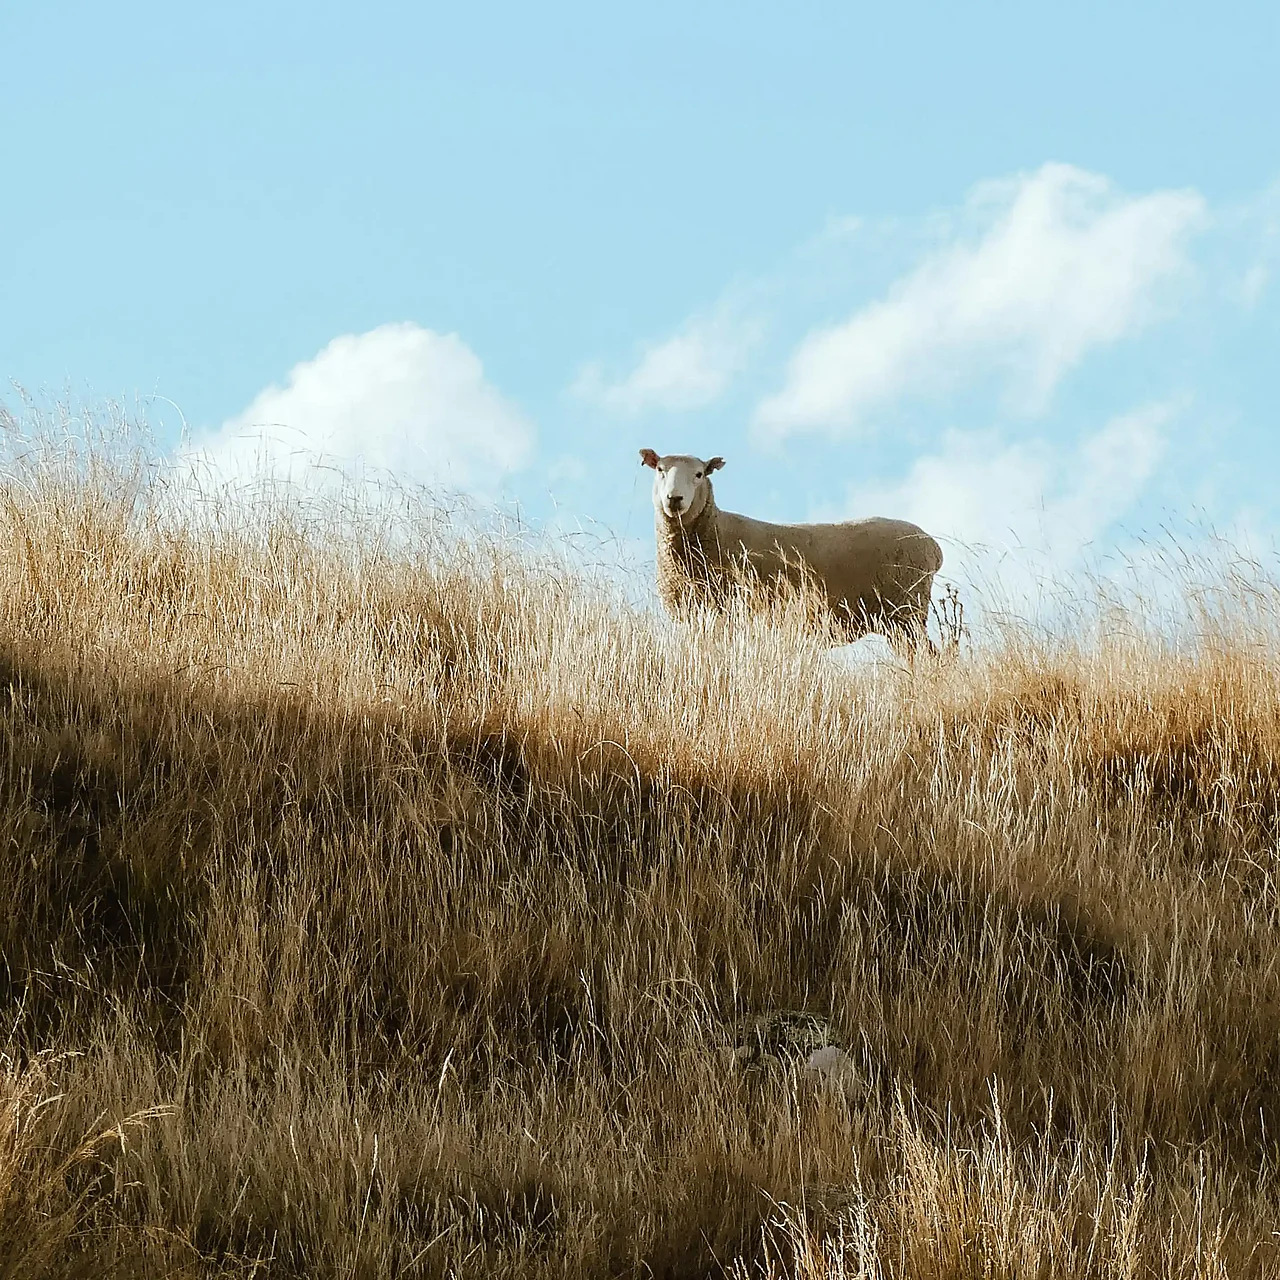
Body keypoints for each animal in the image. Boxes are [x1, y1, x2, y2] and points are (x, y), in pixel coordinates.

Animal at [640, 448, 942, 649]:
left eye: (699, 474)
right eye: (660, 470)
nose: (674, 499)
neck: (714, 529)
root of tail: (932, 546)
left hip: (907, 612)